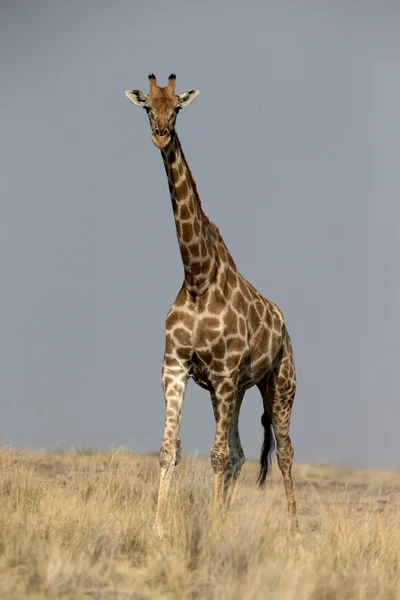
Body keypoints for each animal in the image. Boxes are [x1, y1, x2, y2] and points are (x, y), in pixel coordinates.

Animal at [126, 74, 300, 540]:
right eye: (147, 106)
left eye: (177, 108)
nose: (160, 133)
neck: (198, 278)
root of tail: (284, 328)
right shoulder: (175, 365)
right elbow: (170, 449)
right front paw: (159, 528)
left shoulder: (222, 372)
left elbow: (217, 455)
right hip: (237, 390)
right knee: (239, 453)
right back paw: (225, 522)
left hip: (279, 386)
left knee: (284, 453)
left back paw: (296, 538)